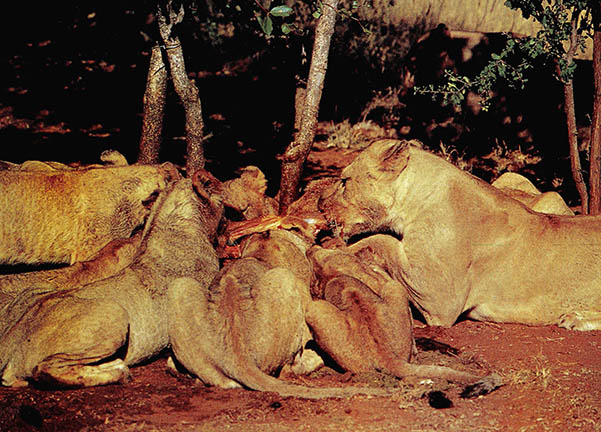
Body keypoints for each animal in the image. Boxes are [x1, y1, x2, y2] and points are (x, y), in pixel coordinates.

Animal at [322, 139, 600, 330]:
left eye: (344, 181)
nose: (320, 204)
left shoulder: (439, 299)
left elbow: (382, 241)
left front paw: (335, 249)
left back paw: (576, 318)